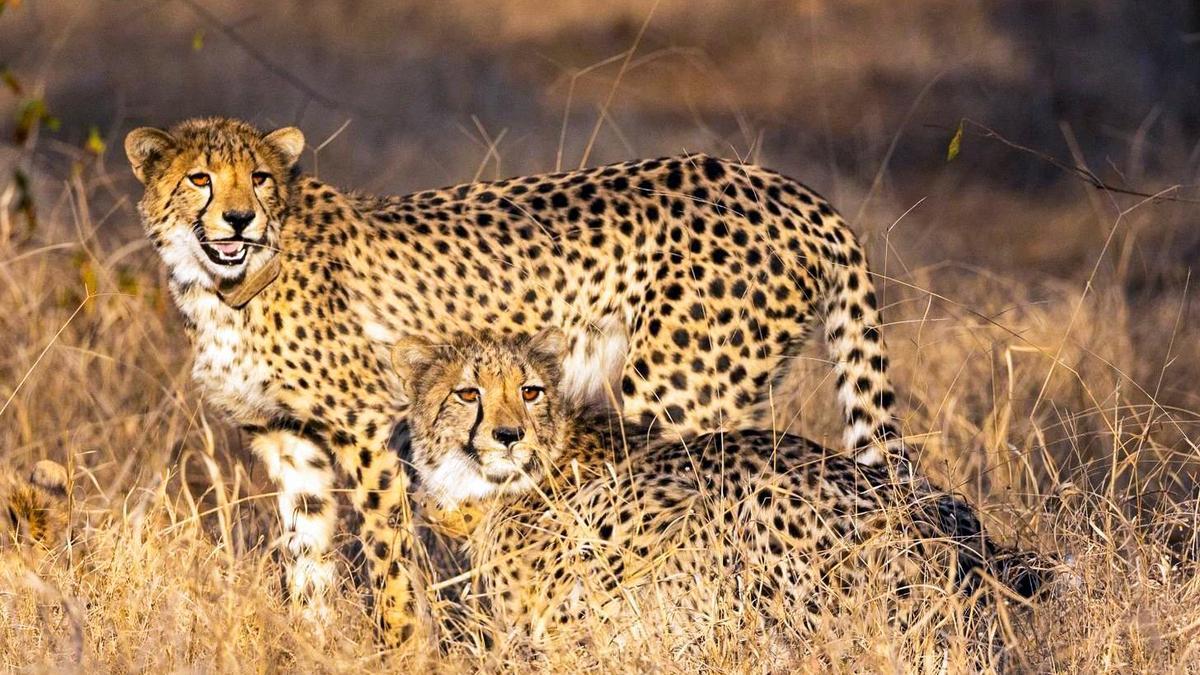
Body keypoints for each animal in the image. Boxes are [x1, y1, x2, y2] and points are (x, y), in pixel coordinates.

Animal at [125, 116, 905, 645]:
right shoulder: (288, 440)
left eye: (259, 178)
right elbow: (308, 556)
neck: (223, 286)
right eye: (199, 177)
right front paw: (313, 640)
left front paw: (400, 648)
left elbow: (388, 560)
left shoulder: (371, 428)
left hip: (673, 394)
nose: (238, 218)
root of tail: (788, 188)